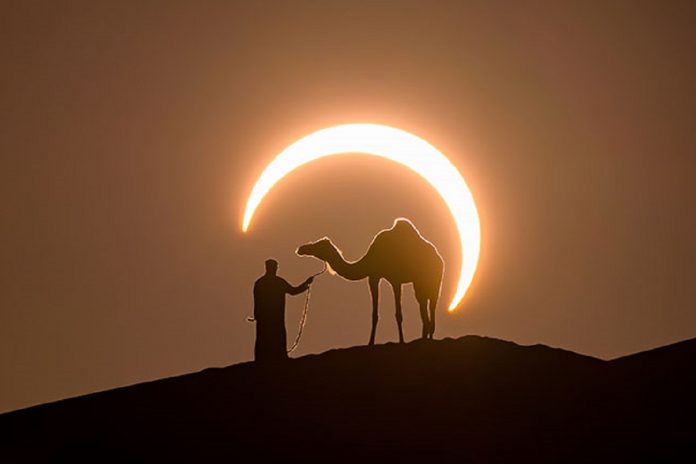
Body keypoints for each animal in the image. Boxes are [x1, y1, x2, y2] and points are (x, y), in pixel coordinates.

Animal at [296, 218, 444, 344]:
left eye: (319, 245)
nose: (301, 249)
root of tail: (439, 259)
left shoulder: (393, 279)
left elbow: (397, 314)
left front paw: (400, 341)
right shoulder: (374, 276)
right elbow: (374, 314)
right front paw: (371, 342)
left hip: (433, 279)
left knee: (431, 303)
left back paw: (428, 336)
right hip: (421, 282)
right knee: (424, 303)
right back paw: (426, 336)